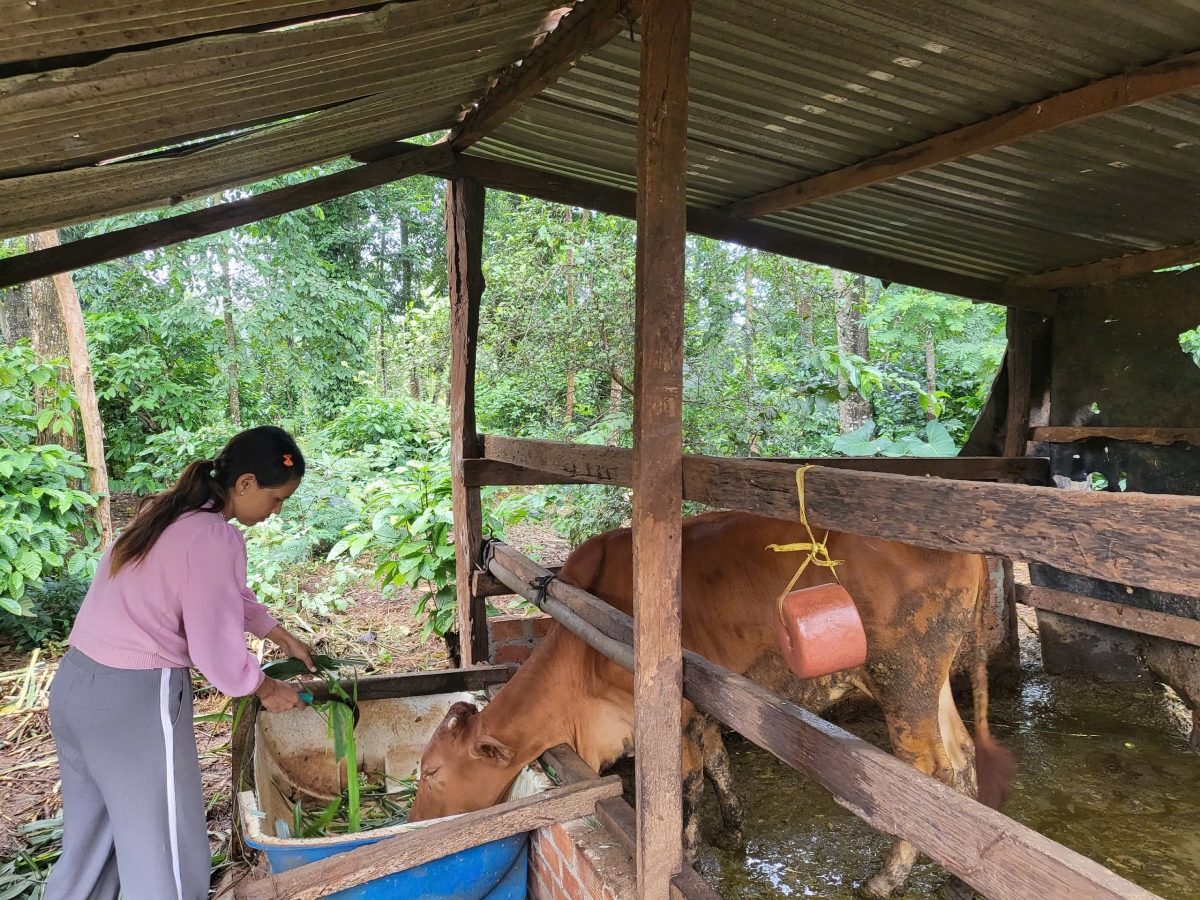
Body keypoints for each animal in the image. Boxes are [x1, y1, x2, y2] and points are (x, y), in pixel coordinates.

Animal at [408, 511, 1008, 897]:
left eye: (433, 771)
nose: (416, 823)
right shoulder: (702, 712)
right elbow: (719, 768)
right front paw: (735, 834)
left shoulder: (670, 715)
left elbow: (688, 785)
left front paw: (688, 854)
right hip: (930, 680)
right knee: (960, 758)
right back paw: (957, 877)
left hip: (902, 673)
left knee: (929, 773)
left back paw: (885, 879)